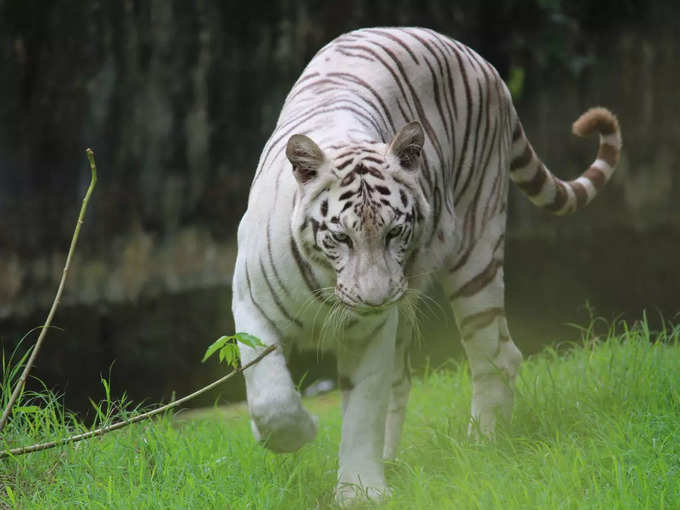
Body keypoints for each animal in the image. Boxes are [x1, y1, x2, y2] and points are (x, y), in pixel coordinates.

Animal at [232, 26, 620, 502]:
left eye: (395, 232)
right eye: (341, 237)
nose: (376, 298)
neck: (327, 282)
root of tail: (475, 56)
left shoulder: (371, 330)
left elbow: (363, 408)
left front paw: (360, 492)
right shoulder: (252, 303)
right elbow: (270, 396)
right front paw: (294, 432)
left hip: (475, 252)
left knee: (497, 355)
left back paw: (483, 445)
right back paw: (397, 459)